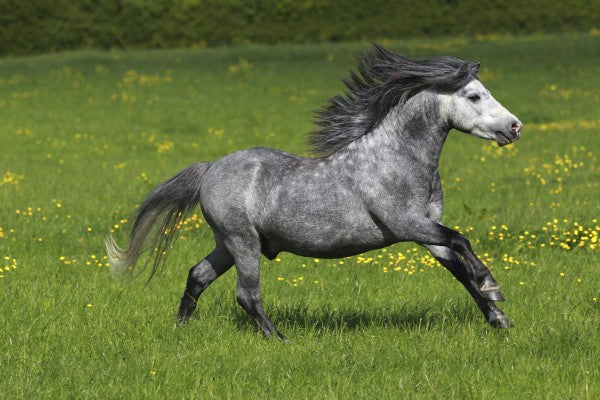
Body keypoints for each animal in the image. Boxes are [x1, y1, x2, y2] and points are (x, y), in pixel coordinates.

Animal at [105, 45, 524, 340]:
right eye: (474, 96)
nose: (515, 127)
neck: (395, 158)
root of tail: (211, 169)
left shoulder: (425, 230)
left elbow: (459, 268)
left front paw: (498, 317)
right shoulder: (406, 224)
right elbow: (461, 241)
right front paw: (493, 287)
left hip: (227, 242)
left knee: (198, 275)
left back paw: (181, 328)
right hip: (241, 241)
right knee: (246, 294)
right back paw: (280, 339)